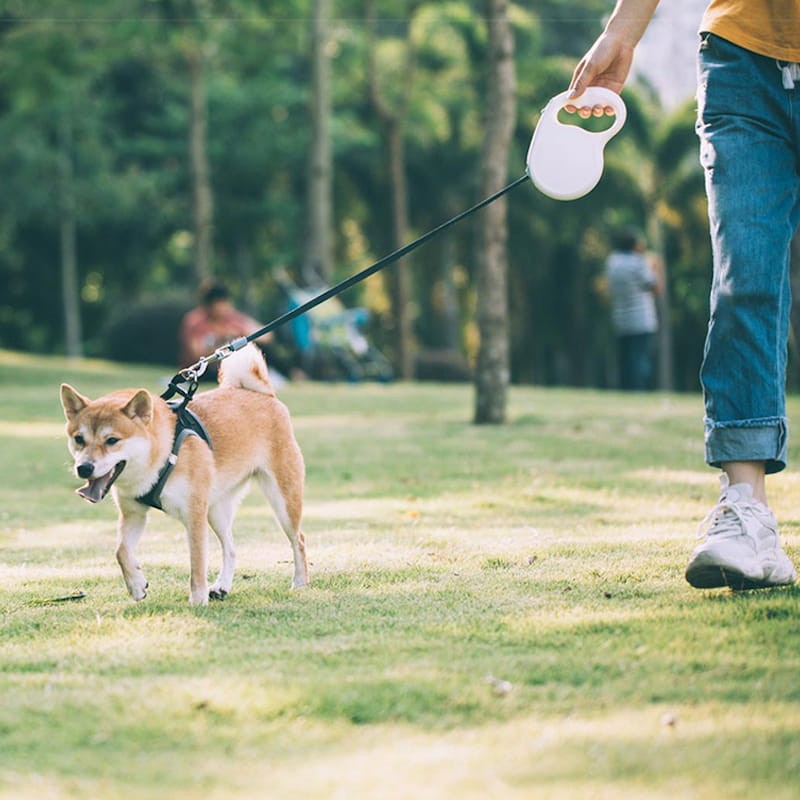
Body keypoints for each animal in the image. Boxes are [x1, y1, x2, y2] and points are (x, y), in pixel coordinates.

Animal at [59, 346, 308, 608]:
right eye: (79, 439)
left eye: (112, 440)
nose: (84, 468)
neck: (161, 453)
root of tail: (263, 394)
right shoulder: (134, 514)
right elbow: (121, 551)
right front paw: (137, 585)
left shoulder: (194, 514)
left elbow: (196, 565)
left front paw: (197, 600)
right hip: (216, 510)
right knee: (231, 548)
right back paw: (222, 586)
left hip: (282, 501)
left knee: (298, 539)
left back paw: (300, 582)